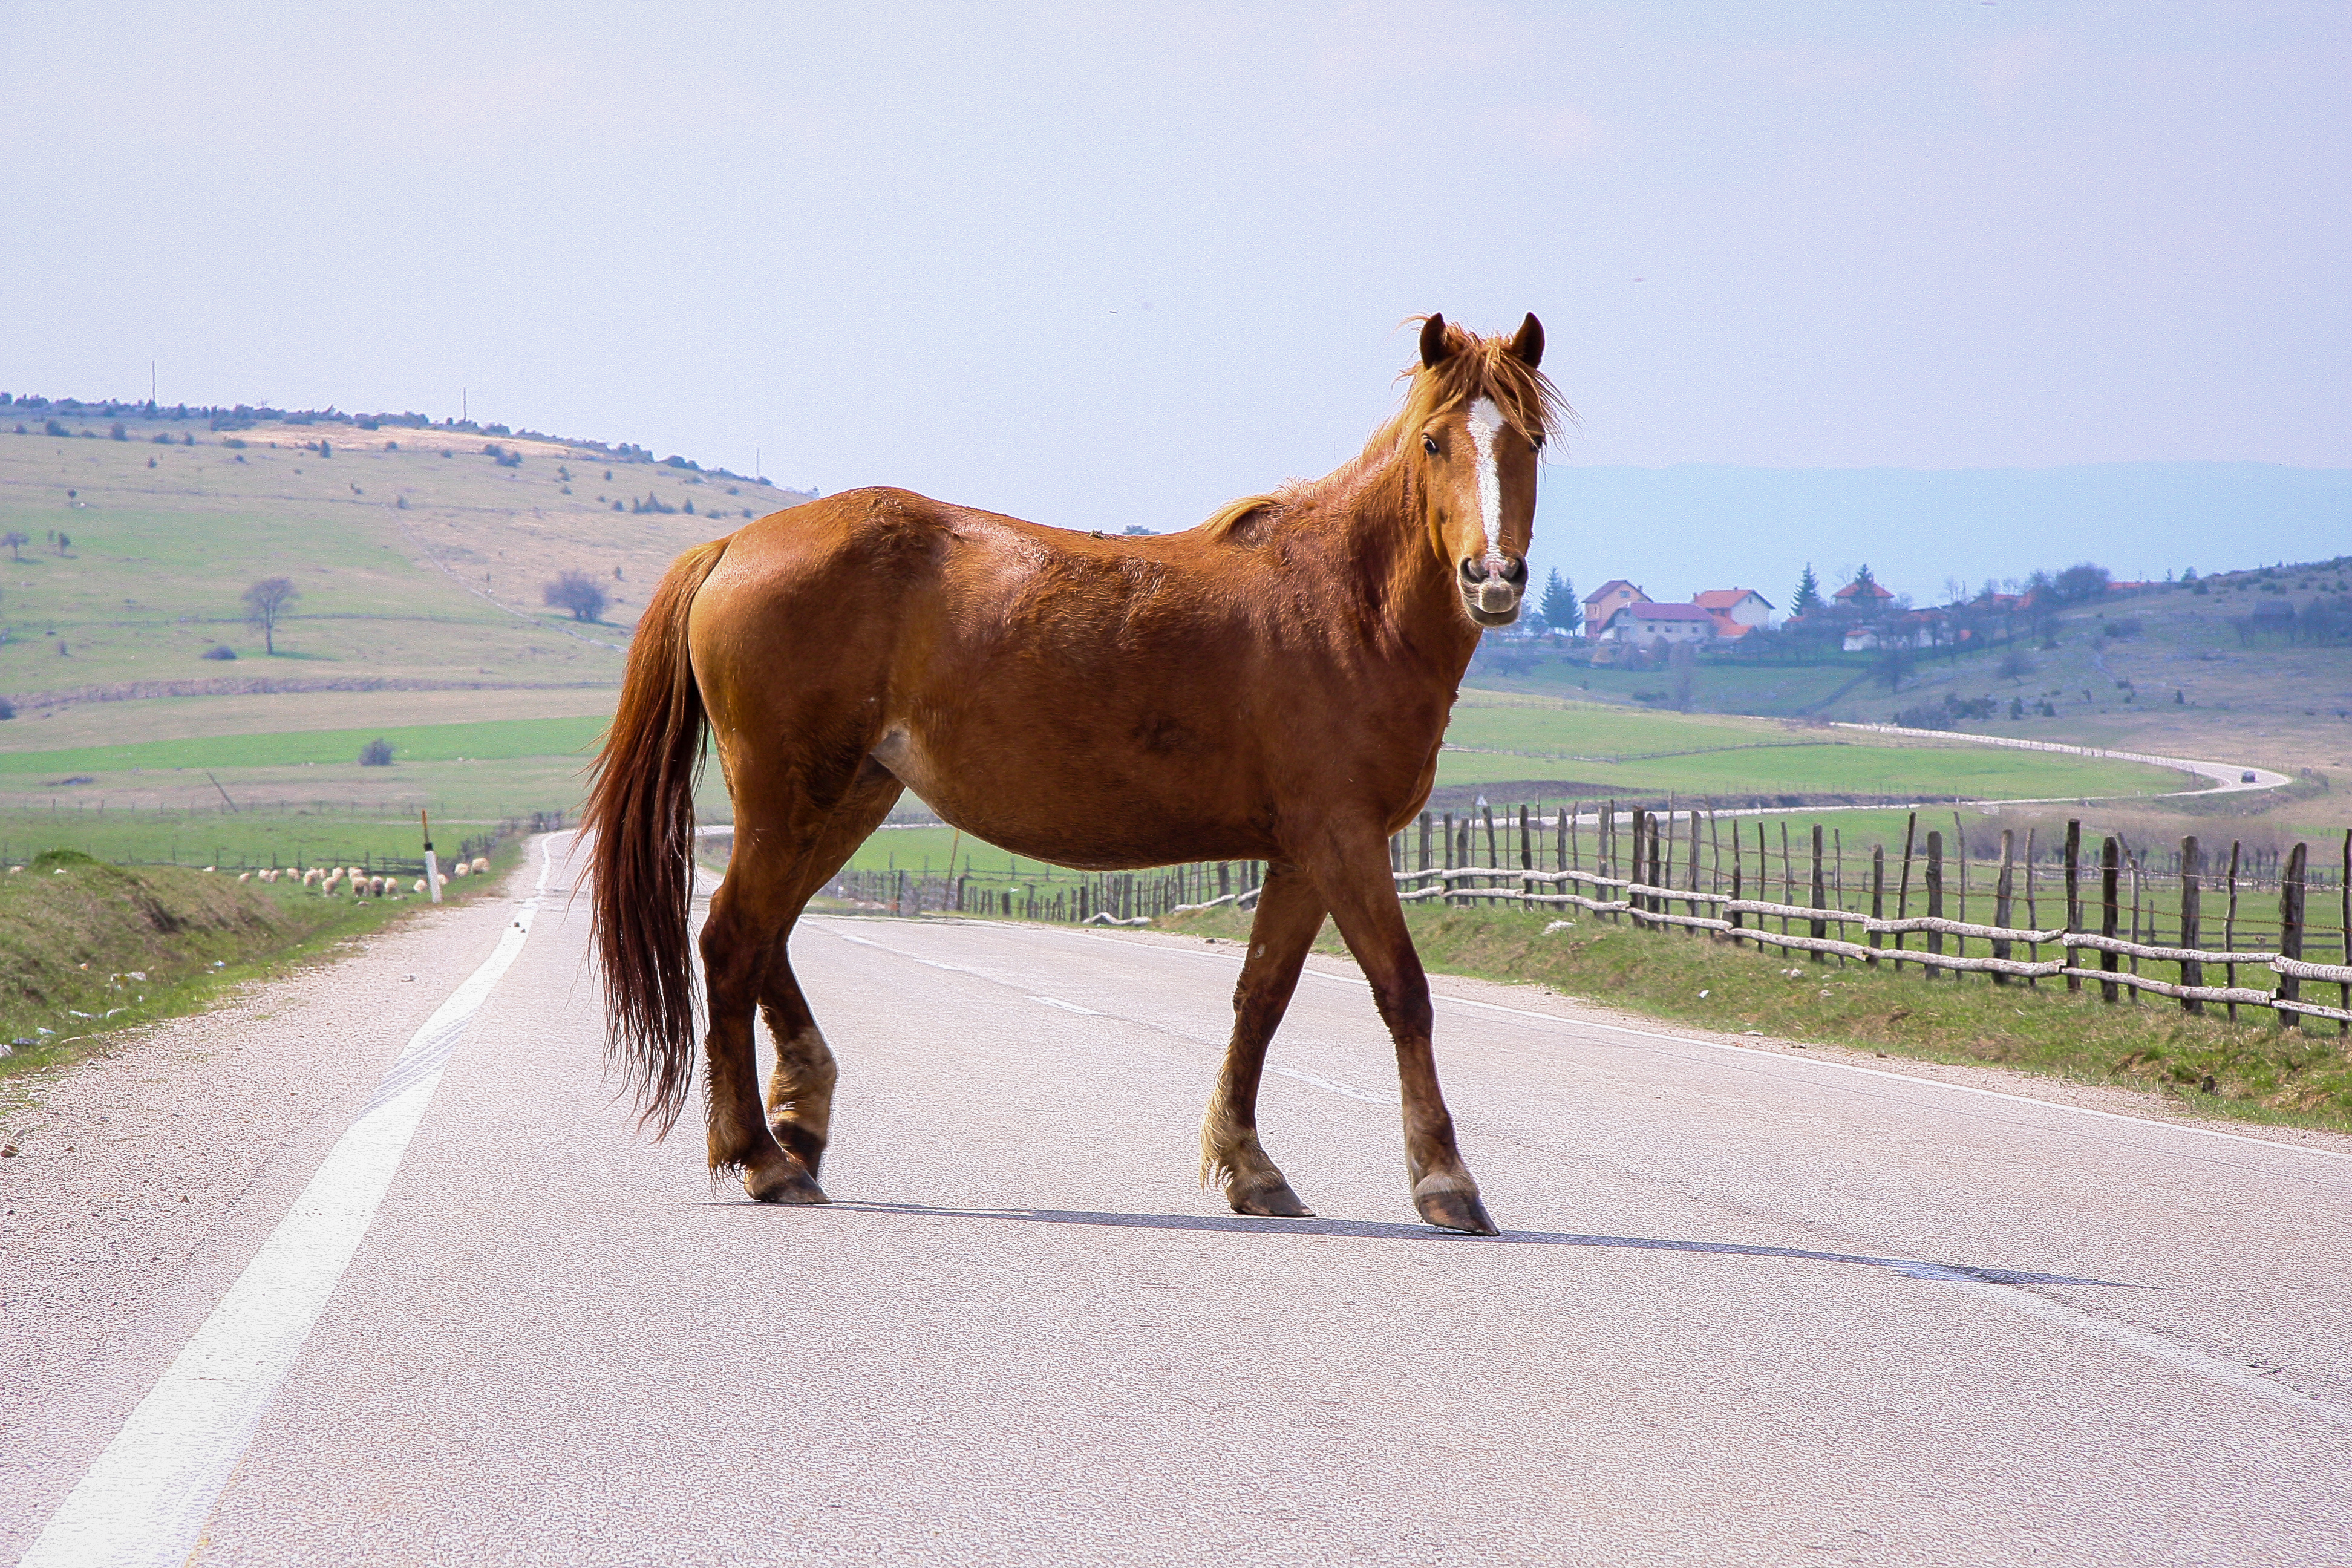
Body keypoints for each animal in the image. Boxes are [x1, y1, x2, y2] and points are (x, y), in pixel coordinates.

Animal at [586, 310, 1561, 1241]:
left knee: (768, 937)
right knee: (733, 940)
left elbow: (1261, 1000)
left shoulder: (1298, 858)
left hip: (850, 795)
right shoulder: (1344, 841)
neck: (1342, 608)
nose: (1493, 577)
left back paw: (799, 1123)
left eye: (1530, 441)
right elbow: (1404, 994)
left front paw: (1250, 1168)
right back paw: (762, 1155)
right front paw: (1446, 1182)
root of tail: (732, 545)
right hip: (791, 797)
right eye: (1435, 442)